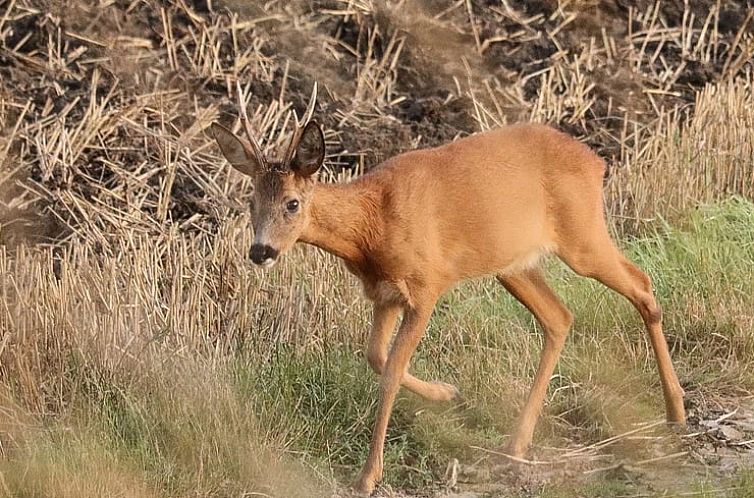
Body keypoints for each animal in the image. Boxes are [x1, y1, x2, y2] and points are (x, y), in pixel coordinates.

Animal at [209, 81, 684, 494]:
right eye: (251, 203)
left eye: (292, 203)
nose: (260, 251)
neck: (372, 223)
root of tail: (596, 161)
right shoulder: (384, 295)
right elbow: (376, 358)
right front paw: (447, 393)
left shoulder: (426, 285)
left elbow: (390, 371)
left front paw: (368, 476)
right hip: (514, 264)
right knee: (560, 317)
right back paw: (518, 443)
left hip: (581, 235)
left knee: (641, 285)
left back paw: (675, 410)